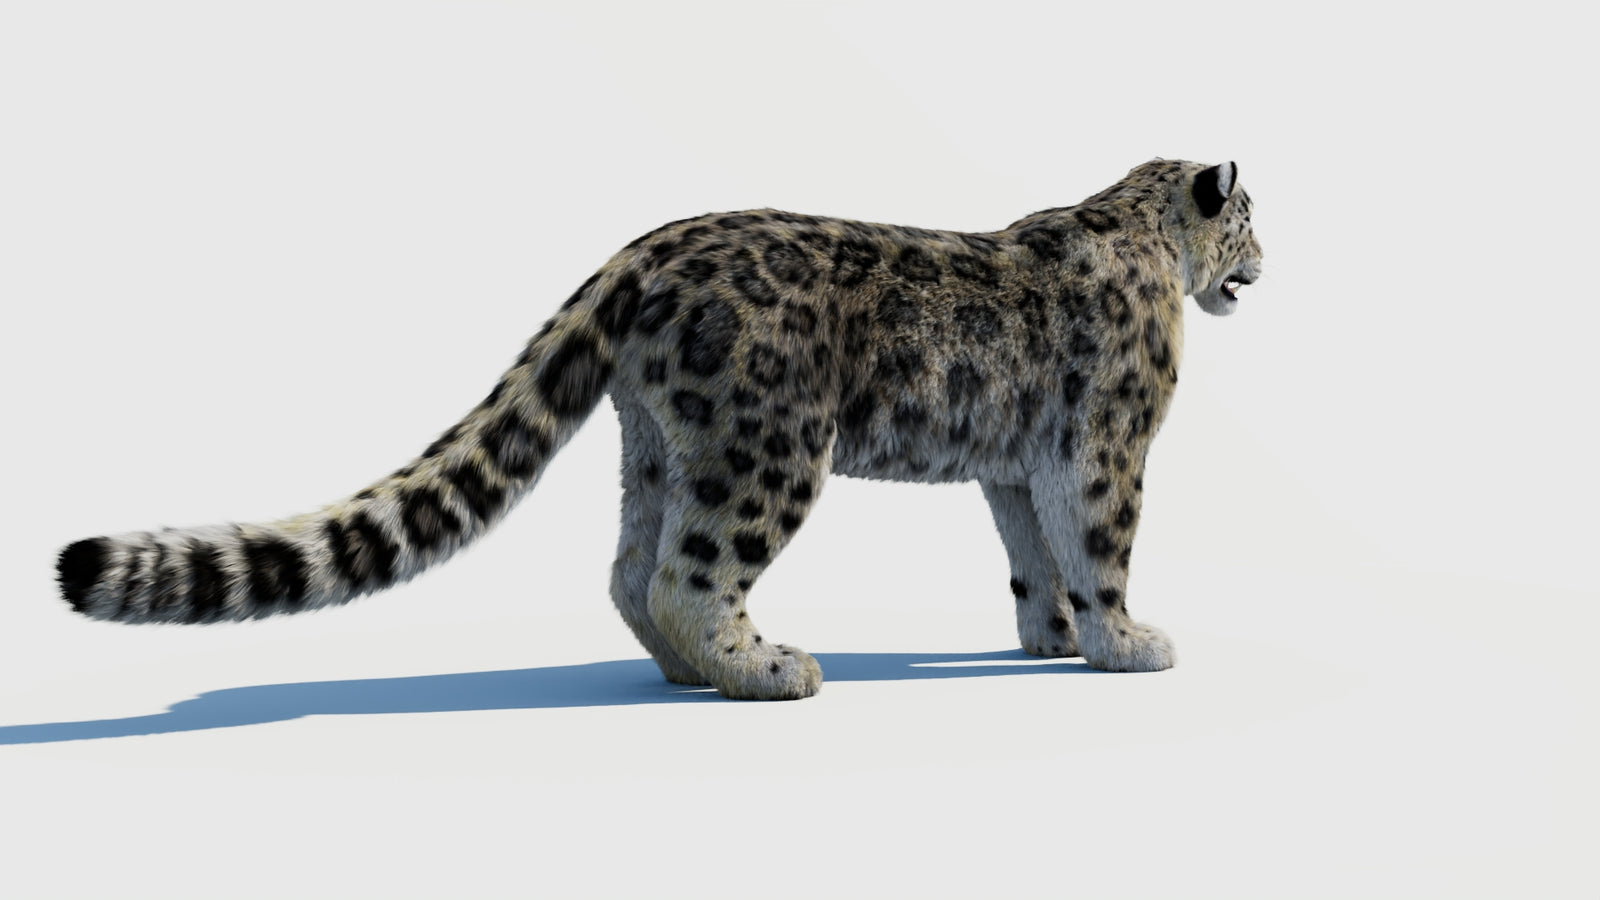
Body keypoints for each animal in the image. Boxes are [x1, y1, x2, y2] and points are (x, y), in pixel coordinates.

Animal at [55, 159, 1263, 701]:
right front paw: (1127, 643)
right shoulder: (1105, 445)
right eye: (1252, 217)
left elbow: (1031, 555)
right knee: (694, 570)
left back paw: (689, 672)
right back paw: (766, 667)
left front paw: (1048, 638)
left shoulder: (1014, 466)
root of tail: (641, 251)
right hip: (770, 447)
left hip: (665, 445)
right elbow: (1096, 545)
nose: (1268, 263)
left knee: (634, 567)